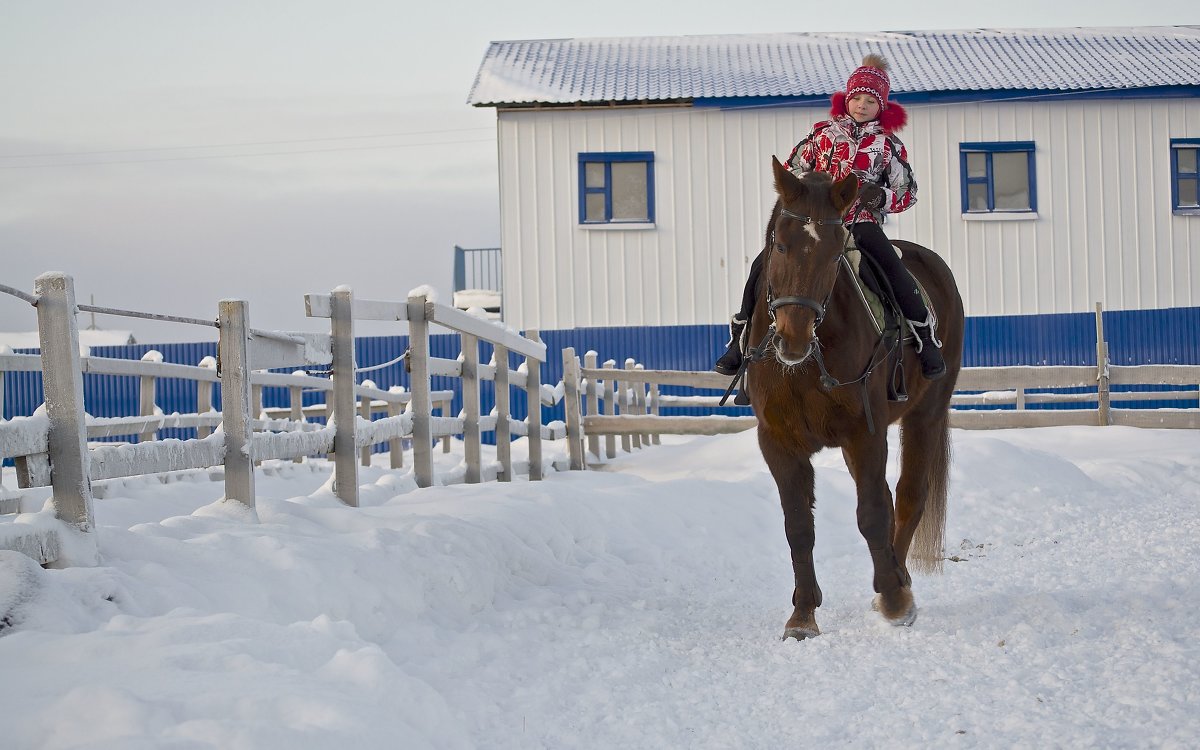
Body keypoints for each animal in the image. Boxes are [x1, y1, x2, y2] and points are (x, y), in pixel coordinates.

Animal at [748, 158, 964, 638]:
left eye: (834, 255)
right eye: (780, 245)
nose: (792, 337)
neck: (808, 363)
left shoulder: (865, 433)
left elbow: (872, 513)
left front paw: (895, 600)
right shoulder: (778, 442)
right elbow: (799, 526)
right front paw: (803, 614)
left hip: (925, 414)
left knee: (907, 496)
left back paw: (897, 581)